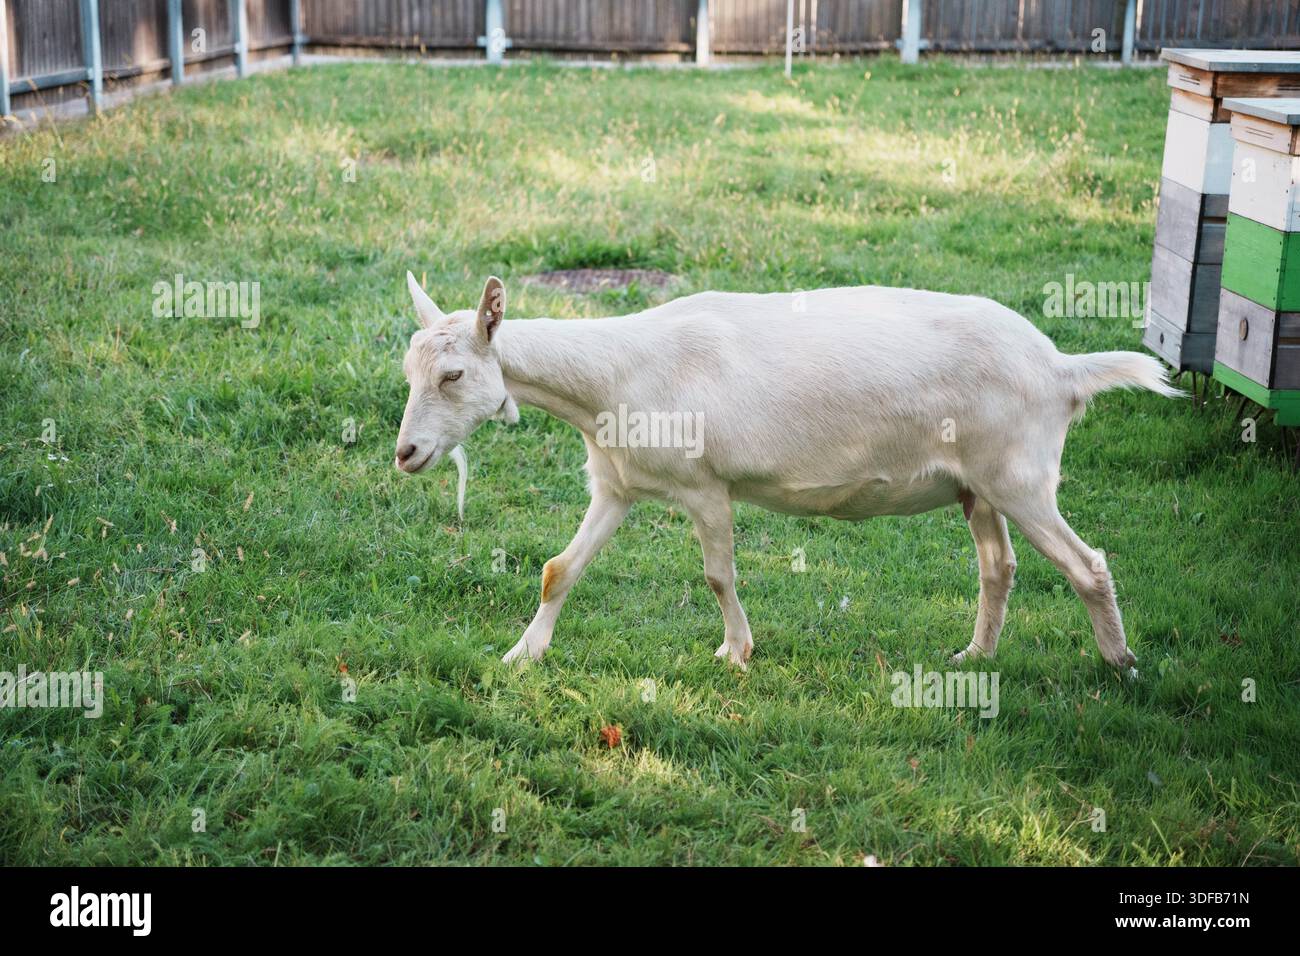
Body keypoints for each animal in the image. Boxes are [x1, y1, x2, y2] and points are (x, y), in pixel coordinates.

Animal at [395, 273, 1179, 672]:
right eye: (409, 369)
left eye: (454, 374)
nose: (405, 454)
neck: (616, 373)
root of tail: (1062, 369)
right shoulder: (616, 485)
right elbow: (560, 569)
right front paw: (520, 656)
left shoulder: (703, 486)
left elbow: (718, 575)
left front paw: (736, 653)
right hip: (977, 485)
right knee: (999, 567)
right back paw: (973, 656)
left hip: (1020, 474)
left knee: (1086, 564)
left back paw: (1119, 666)